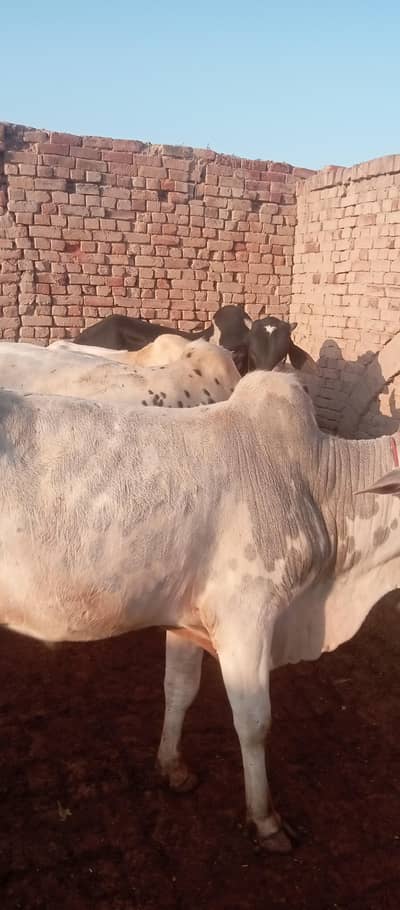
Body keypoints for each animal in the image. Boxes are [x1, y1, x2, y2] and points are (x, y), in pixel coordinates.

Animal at [0, 369, 399, 854]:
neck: (319, 483)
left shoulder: (185, 620)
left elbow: (179, 690)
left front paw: (172, 767)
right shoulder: (246, 616)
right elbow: (254, 721)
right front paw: (265, 820)